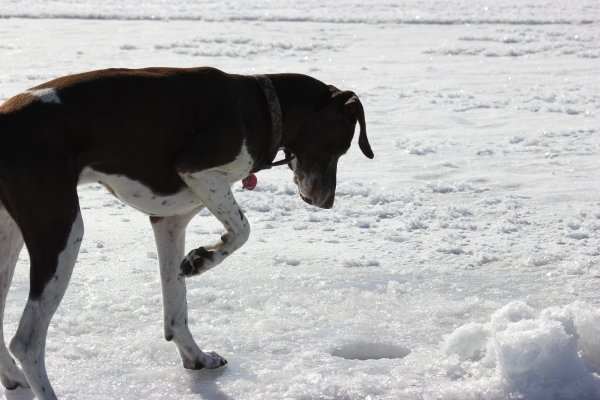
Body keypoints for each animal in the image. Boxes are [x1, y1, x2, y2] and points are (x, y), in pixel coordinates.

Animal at [0, 67, 370, 398]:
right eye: (342, 146)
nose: (327, 203)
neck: (261, 106)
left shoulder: (170, 220)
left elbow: (176, 308)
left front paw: (196, 355)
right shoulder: (199, 170)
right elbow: (242, 230)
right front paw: (202, 258)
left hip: (11, 238)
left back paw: (13, 378)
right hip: (61, 229)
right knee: (26, 342)